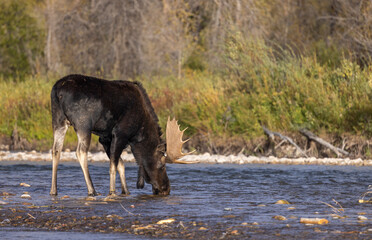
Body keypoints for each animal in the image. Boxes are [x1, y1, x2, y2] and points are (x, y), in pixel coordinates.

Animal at [49, 74, 192, 196]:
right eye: (162, 166)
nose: (166, 189)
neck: (139, 134)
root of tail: (58, 91)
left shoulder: (105, 137)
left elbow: (120, 164)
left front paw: (126, 191)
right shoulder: (120, 133)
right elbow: (114, 164)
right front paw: (112, 191)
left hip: (58, 121)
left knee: (56, 150)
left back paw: (53, 190)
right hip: (83, 124)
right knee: (80, 151)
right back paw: (92, 190)